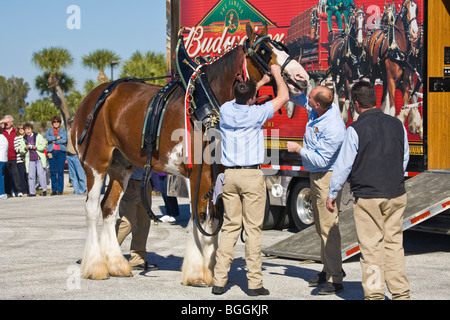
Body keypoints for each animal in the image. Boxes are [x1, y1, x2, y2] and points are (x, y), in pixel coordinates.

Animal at [71, 23, 310, 286]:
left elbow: (214, 217)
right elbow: (200, 216)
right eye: (265, 51)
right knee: (92, 208)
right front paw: (197, 271)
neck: (207, 105)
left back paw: (115, 264)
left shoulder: (218, 173)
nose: (302, 78)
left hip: (121, 166)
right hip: (95, 164)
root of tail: (93, 97)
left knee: (109, 209)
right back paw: (96, 266)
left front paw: (213, 267)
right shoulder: (199, 173)